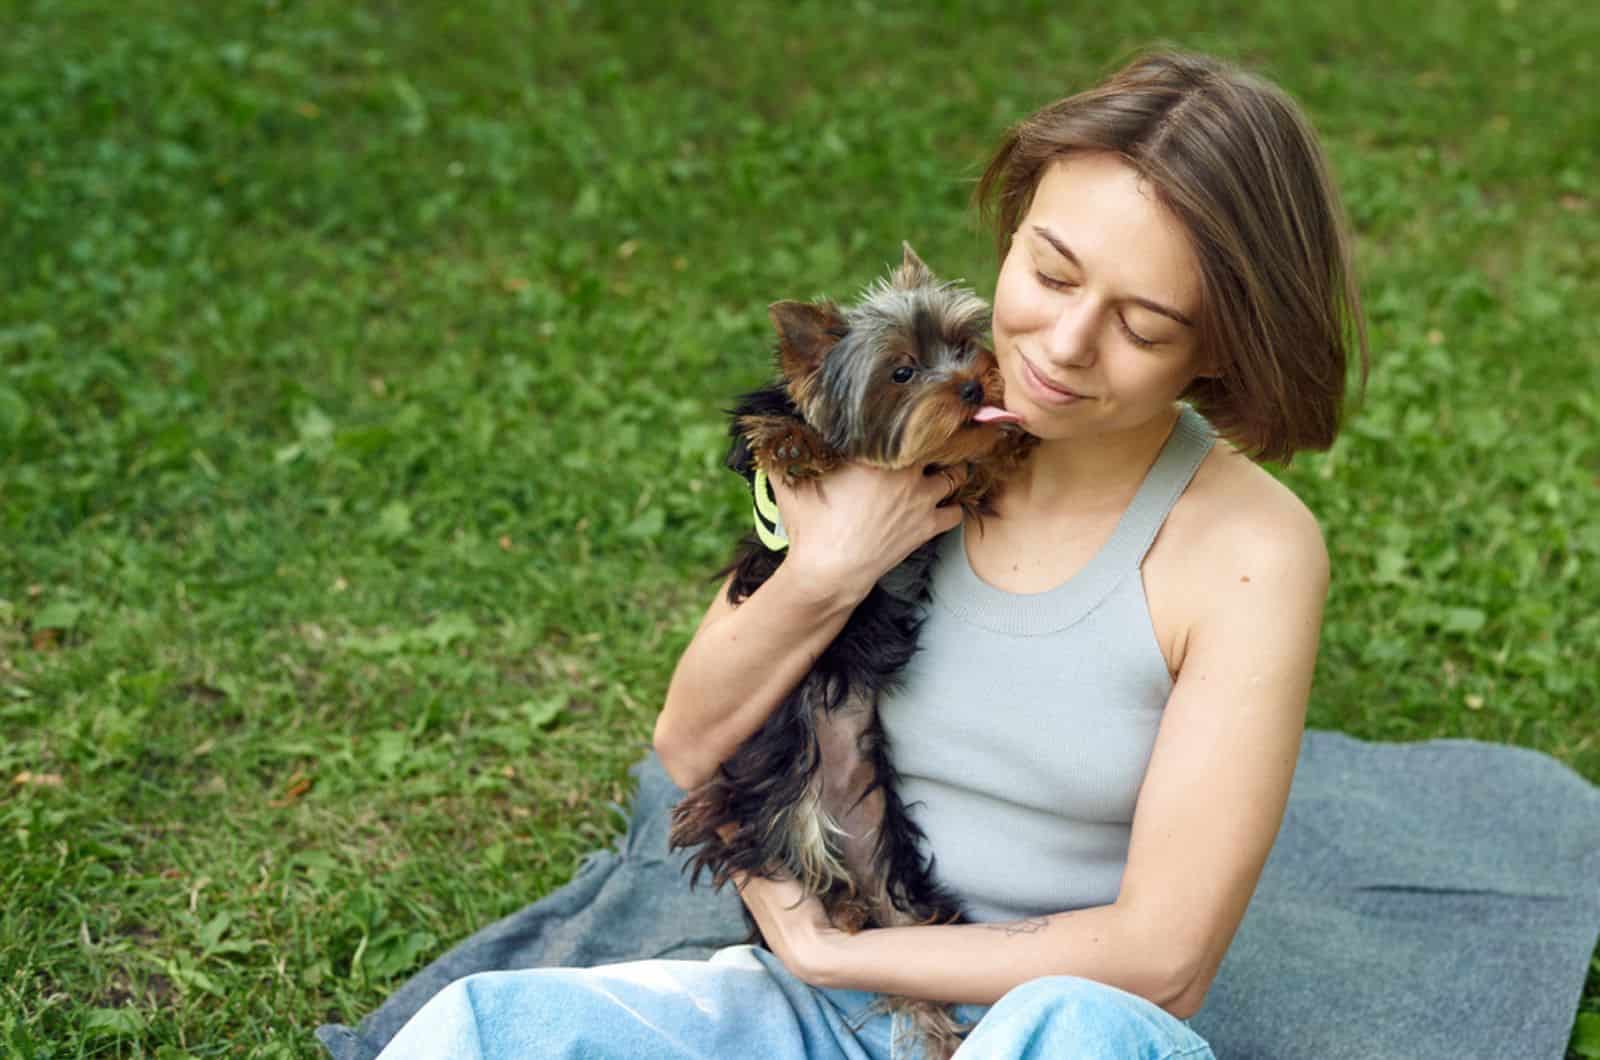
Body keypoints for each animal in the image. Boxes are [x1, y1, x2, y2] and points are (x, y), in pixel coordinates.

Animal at [665, 244, 1030, 1056]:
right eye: (901, 372)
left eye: (965, 343)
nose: (972, 385)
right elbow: (778, 426)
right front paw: (797, 444)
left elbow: (973, 468)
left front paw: (1006, 445)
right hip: (776, 806)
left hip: (902, 878)